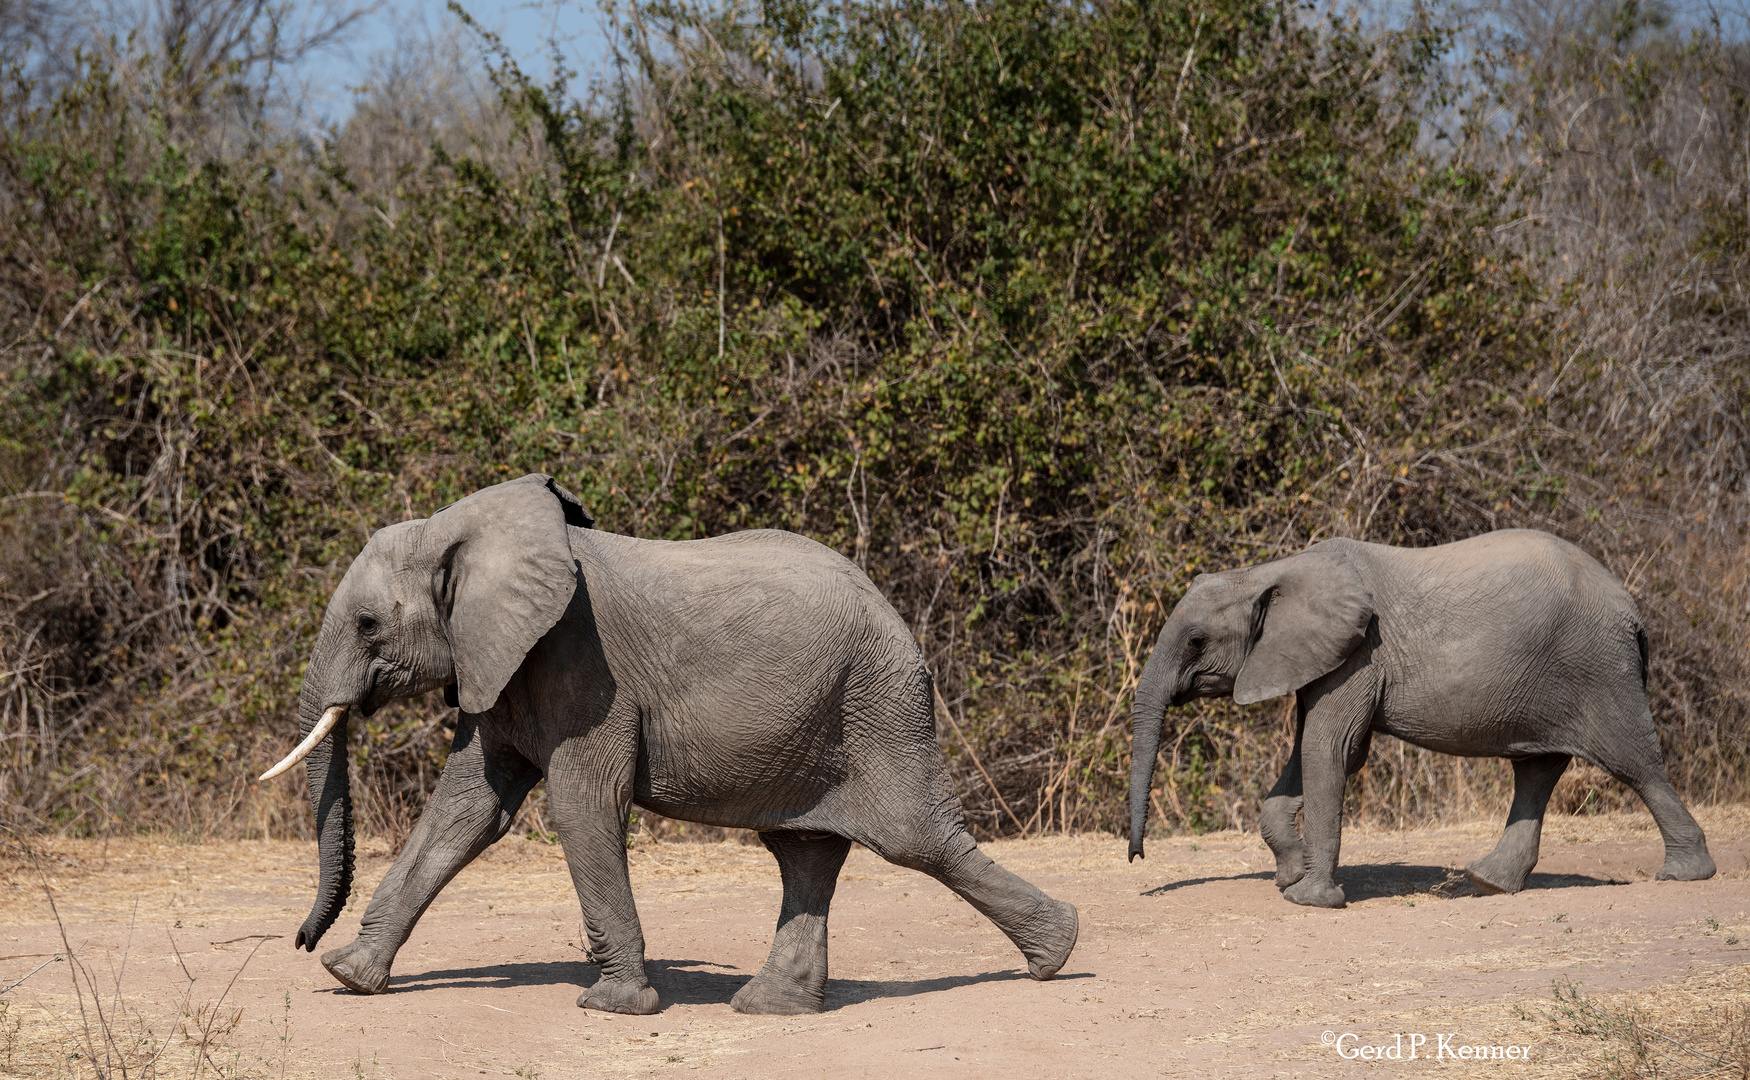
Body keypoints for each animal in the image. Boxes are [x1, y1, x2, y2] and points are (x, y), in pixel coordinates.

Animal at [264, 472, 1071, 1008]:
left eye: (368, 624)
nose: (300, 941)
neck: (463, 530)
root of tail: (895, 613)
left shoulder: (581, 666)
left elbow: (580, 806)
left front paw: (611, 1006)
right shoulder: (499, 663)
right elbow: (467, 814)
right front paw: (348, 975)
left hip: (880, 699)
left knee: (915, 839)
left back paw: (1056, 954)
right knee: (805, 851)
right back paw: (768, 1007)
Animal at [1127, 525, 1715, 903]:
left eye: (1197, 641)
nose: (1136, 860)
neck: (1270, 571)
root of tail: (1632, 610)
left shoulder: (1360, 652)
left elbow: (1329, 748)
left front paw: (1308, 899)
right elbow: (1315, 750)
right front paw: (1289, 877)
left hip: (1599, 668)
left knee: (1635, 763)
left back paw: (1686, 875)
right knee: (1537, 769)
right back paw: (1489, 884)